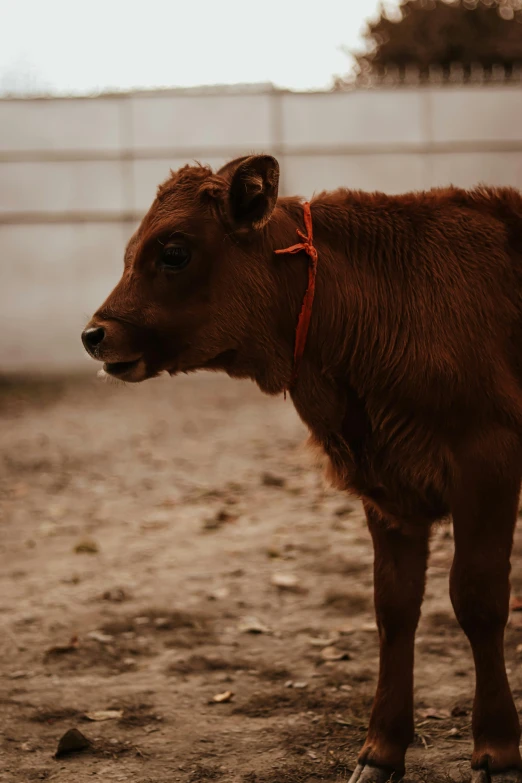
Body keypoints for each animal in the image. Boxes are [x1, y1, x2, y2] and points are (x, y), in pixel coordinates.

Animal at [79, 156, 520, 780]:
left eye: (174, 252)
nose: (94, 335)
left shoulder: (488, 461)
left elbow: (479, 598)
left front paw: (498, 751)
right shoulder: (388, 487)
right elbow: (394, 606)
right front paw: (381, 750)